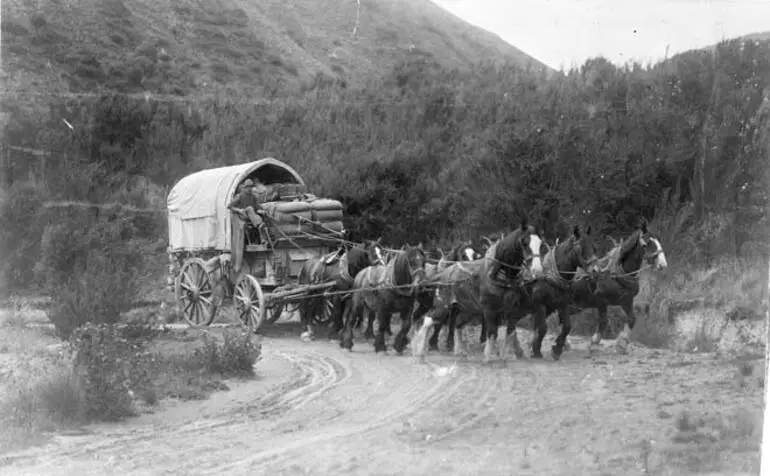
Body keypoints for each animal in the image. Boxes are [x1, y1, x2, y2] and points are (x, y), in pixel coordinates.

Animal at [568, 219, 668, 354]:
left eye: (659, 241)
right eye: (645, 244)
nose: (663, 264)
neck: (617, 275)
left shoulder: (626, 301)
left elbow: (632, 319)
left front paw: (622, 344)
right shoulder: (601, 301)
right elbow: (603, 322)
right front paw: (594, 342)